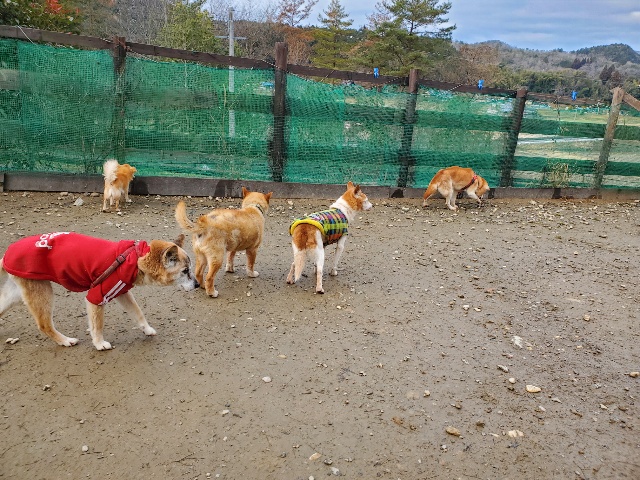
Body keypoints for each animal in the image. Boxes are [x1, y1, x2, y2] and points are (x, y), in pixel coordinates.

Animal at [0, 232, 198, 350]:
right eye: (185, 271)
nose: (197, 285)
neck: (135, 259)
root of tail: (6, 255)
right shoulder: (97, 296)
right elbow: (97, 324)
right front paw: (99, 343)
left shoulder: (121, 292)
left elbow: (138, 312)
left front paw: (147, 329)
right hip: (42, 293)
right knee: (44, 325)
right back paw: (65, 340)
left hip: (16, 295)